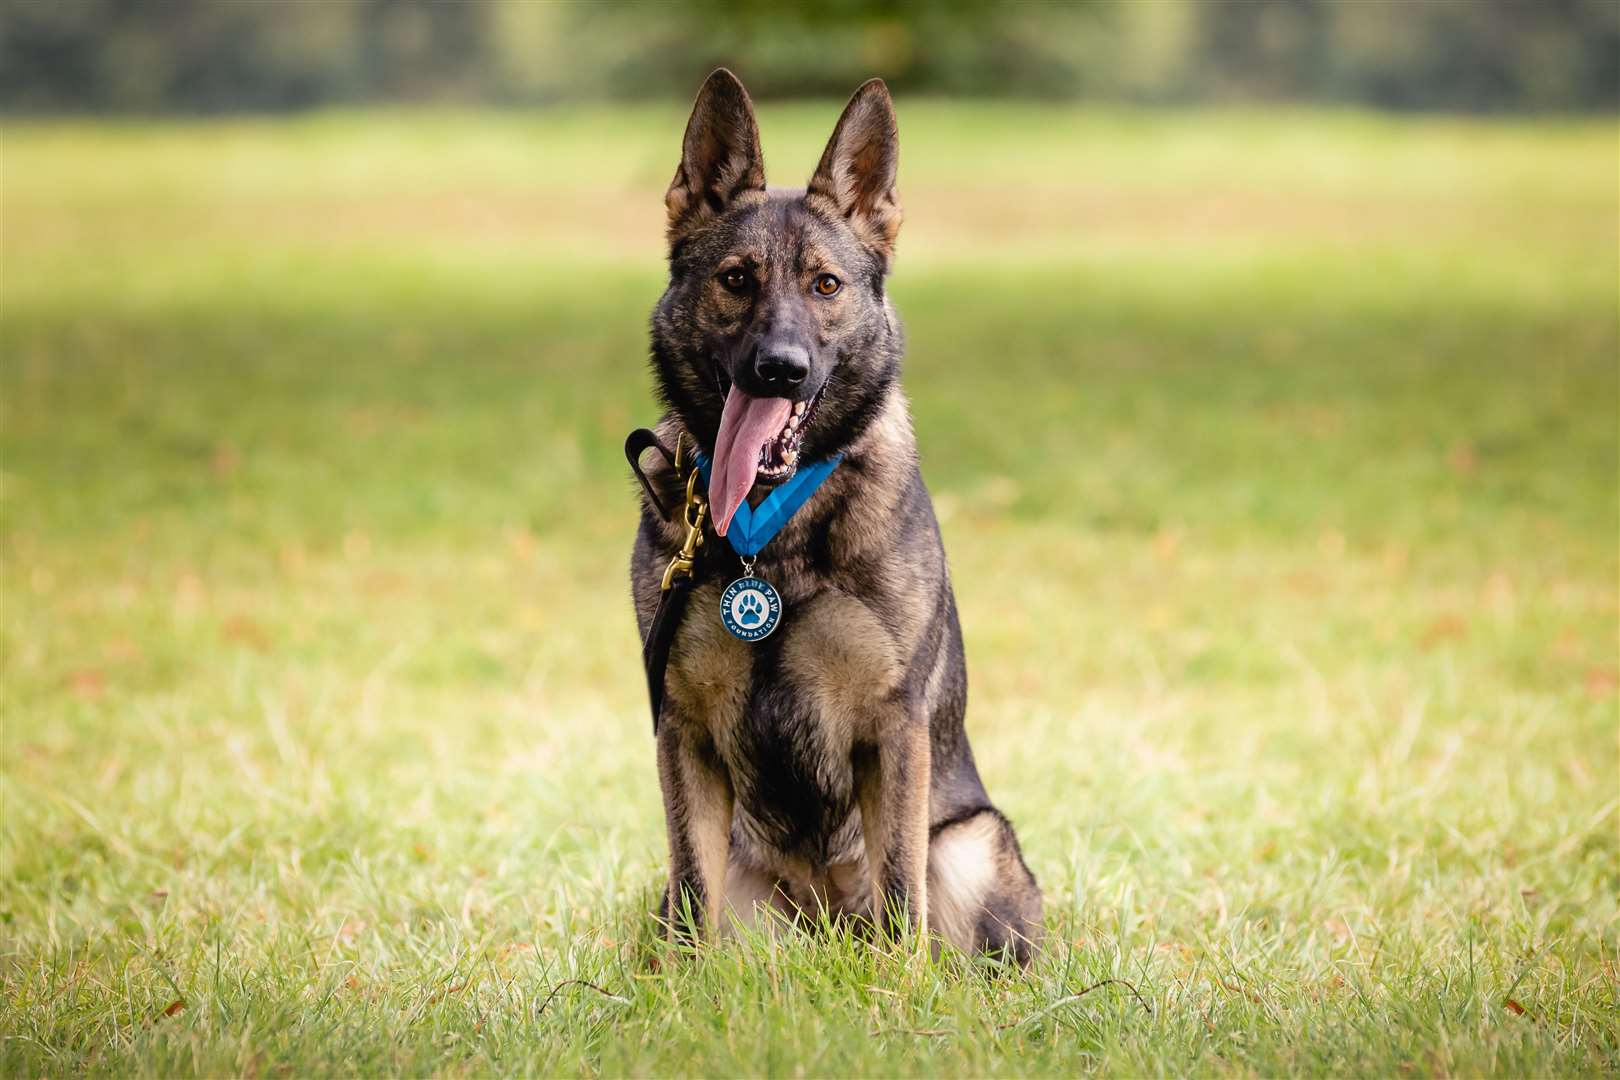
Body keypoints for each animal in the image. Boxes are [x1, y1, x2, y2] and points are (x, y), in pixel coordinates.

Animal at [628, 67, 1036, 965]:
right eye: (736, 279)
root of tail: (825, 924)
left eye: (825, 285)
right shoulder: (683, 732)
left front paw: (897, 990)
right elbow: (696, 896)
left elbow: (899, 894)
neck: (769, 538)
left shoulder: (893, 728)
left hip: (969, 843)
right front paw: (681, 992)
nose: (780, 369)